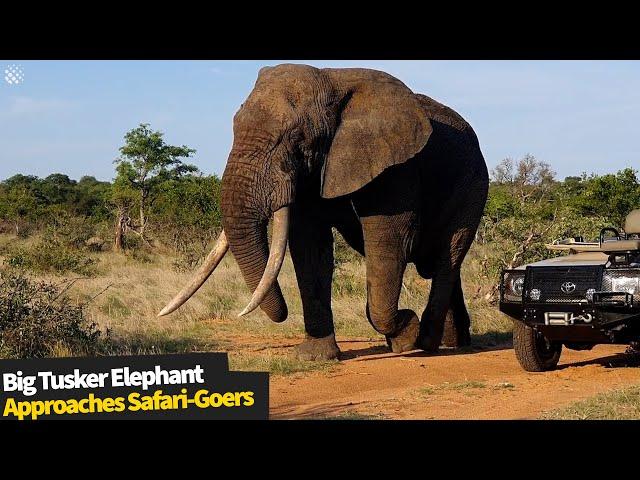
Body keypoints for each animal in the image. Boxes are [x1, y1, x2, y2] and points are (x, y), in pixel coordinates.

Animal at [158, 62, 488, 360]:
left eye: (295, 137)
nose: (281, 314)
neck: (332, 79)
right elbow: (310, 244)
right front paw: (316, 356)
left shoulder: (396, 165)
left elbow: (390, 239)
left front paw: (405, 335)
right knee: (443, 264)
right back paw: (453, 341)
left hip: (472, 185)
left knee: (447, 257)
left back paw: (428, 343)